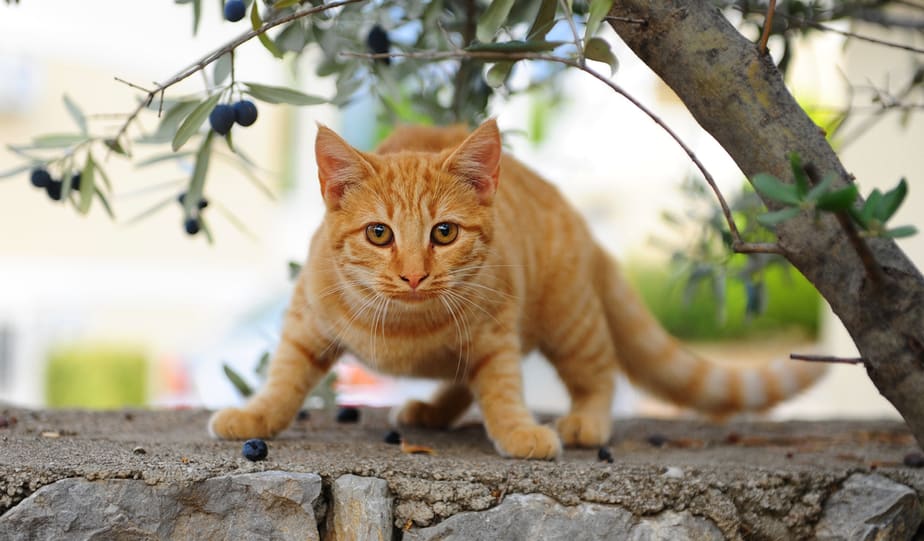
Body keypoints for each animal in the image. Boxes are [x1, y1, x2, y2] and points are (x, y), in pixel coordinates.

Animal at [209, 120, 824, 458]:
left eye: (444, 232)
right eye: (379, 233)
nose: (413, 274)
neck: (407, 324)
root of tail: (581, 223)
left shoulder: (496, 329)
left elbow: (502, 386)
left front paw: (517, 431)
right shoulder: (305, 318)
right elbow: (285, 375)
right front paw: (254, 417)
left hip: (570, 321)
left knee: (598, 374)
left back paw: (585, 421)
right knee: (462, 383)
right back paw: (431, 410)